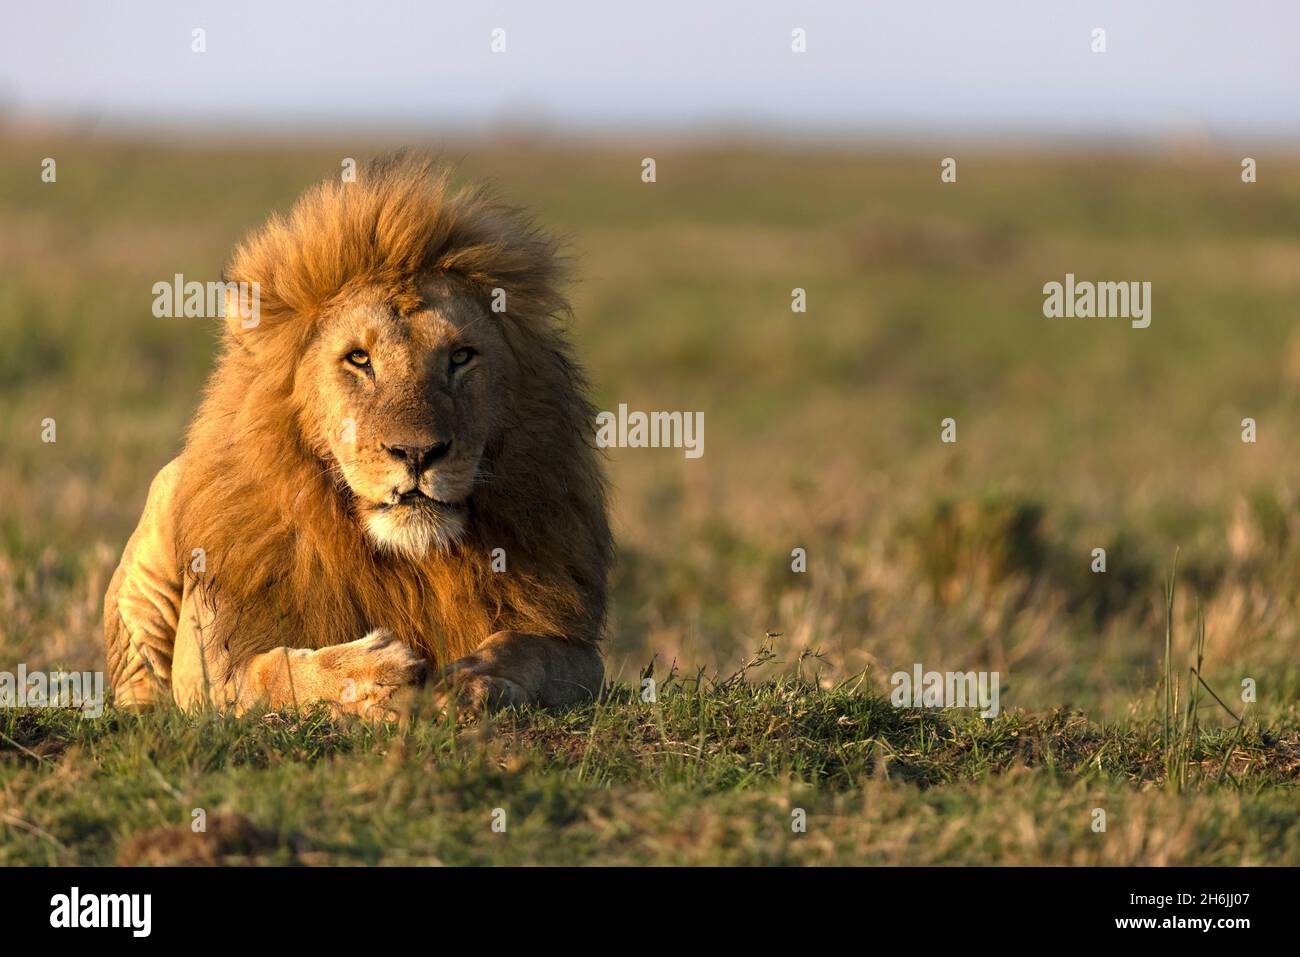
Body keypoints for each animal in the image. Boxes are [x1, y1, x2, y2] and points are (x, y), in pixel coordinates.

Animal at [101, 153, 608, 712]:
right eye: (359, 359)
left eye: (460, 357)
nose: (417, 452)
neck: (406, 562)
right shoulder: (210, 663)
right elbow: (272, 672)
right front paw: (371, 675)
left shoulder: (577, 647)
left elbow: (529, 648)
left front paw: (474, 680)